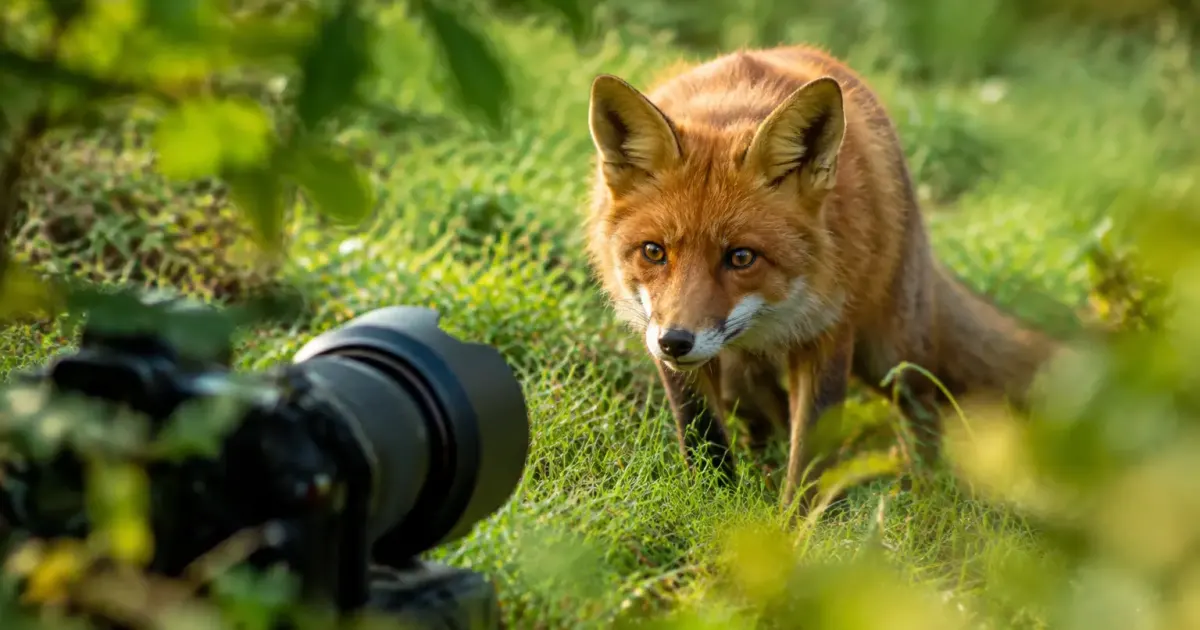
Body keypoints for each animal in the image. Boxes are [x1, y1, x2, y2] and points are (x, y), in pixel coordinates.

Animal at [583, 44, 1062, 508]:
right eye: (654, 252)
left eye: (741, 257)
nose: (675, 341)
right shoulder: (660, 334)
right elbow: (702, 431)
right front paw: (713, 501)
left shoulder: (826, 331)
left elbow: (811, 453)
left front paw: (799, 523)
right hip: (742, 372)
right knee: (763, 408)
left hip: (889, 356)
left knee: (923, 406)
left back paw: (926, 492)